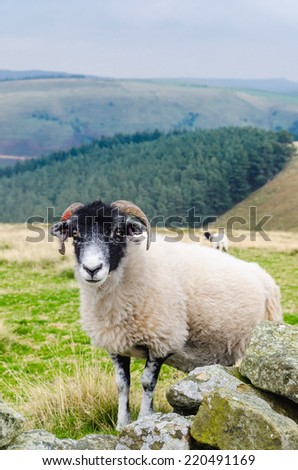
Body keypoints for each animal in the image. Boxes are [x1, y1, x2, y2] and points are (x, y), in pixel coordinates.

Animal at [50, 198, 282, 430]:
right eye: (75, 234)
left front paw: (144, 418)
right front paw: (122, 424)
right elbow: (122, 385)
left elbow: (147, 382)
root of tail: (264, 278)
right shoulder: (116, 343)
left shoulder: (163, 340)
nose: (92, 269)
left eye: (118, 232)